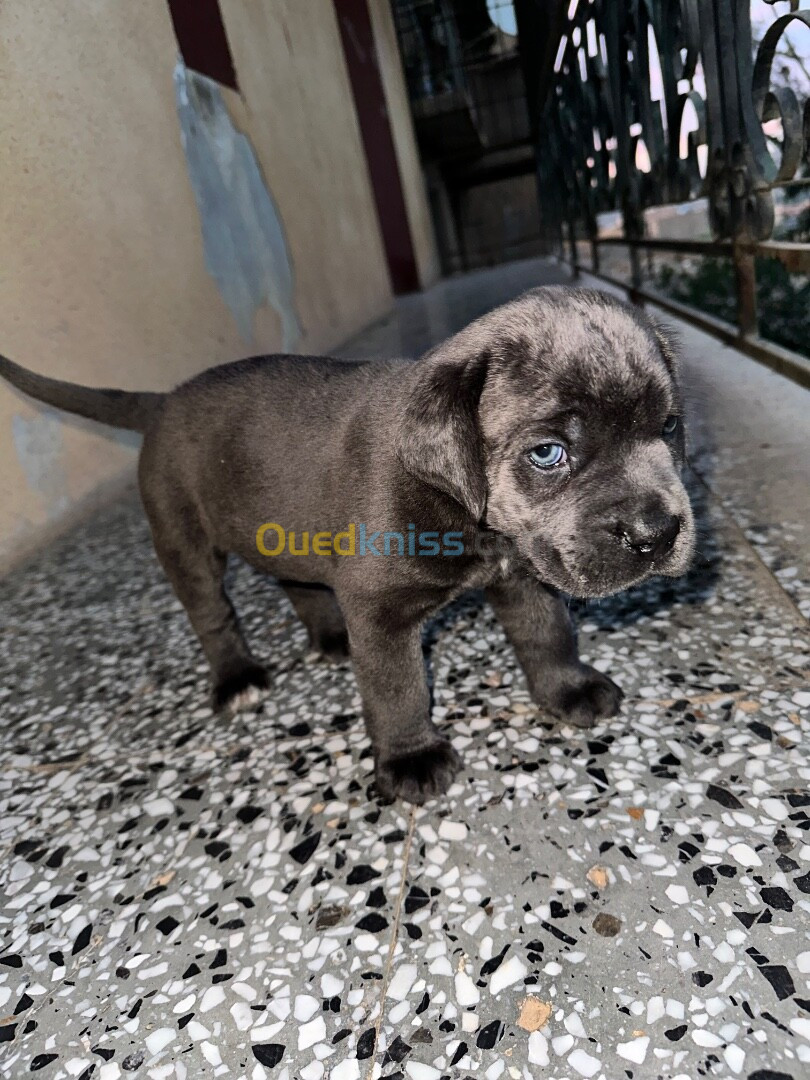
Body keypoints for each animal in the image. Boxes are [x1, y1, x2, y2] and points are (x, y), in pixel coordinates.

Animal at [1, 287, 699, 803]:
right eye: (549, 454)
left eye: (669, 428)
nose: (656, 534)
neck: (463, 510)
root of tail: (162, 402)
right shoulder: (382, 614)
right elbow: (397, 689)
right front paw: (411, 758)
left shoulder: (521, 573)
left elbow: (547, 634)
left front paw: (567, 690)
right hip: (183, 541)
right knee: (211, 614)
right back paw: (237, 678)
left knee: (296, 581)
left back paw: (330, 637)